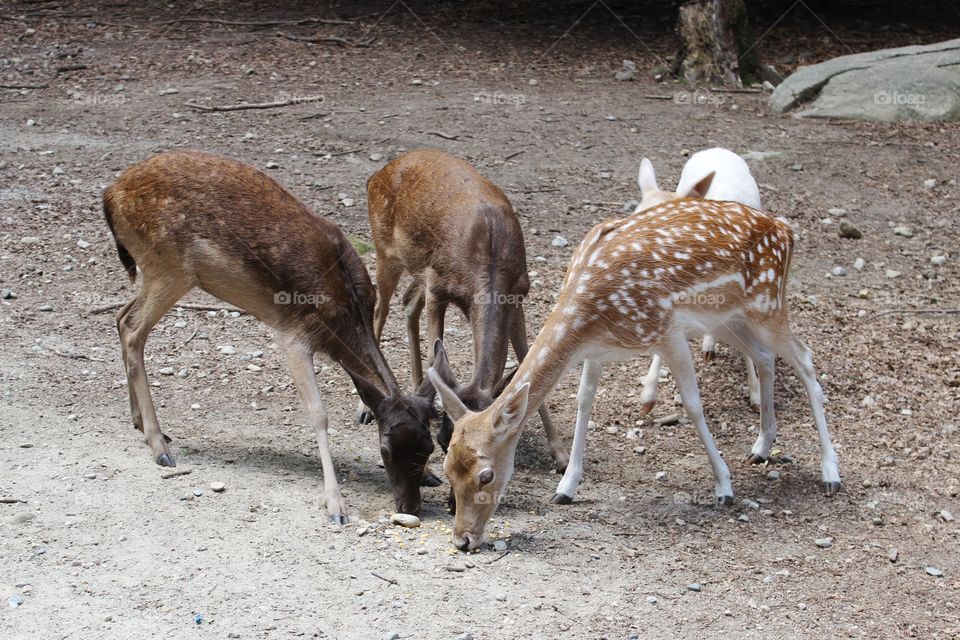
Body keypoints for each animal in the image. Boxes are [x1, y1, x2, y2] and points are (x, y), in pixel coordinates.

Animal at [103, 150, 438, 524]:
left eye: (429, 446)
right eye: (385, 449)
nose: (410, 508)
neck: (342, 315)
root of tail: (109, 196)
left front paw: (431, 476)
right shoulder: (294, 334)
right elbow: (319, 413)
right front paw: (336, 506)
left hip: (157, 273)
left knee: (120, 317)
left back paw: (141, 424)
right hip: (167, 267)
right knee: (132, 328)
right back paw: (159, 447)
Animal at [360, 149, 568, 472]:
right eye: (445, 441)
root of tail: (377, 174)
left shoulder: (518, 293)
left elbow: (526, 360)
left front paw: (561, 455)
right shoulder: (437, 286)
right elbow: (434, 353)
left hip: (418, 269)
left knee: (409, 302)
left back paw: (420, 395)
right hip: (385, 251)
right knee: (381, 309)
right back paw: (367, 409)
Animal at [428, 196, 841, 551]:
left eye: (486, 475)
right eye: (446, 465)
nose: (462, 540)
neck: (590, 315)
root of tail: (785, 230)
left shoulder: (668, 332)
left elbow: (693, 405)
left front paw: (724, 487)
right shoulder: (595, 350)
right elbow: (583, 403)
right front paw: (566, 487)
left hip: (768, 304)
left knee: (805, 360)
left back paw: (830, 474)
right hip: (729, 318)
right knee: (766, 358)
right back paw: (761, 447)